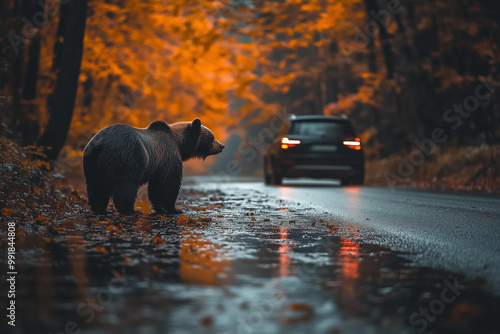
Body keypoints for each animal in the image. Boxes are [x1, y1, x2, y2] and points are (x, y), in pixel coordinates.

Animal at [83, 118, 224, 215]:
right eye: (212, 137)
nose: (222, 146)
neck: (179, 143)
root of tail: (102, 143)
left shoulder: (158, 163)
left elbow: (155, 187)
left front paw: (159, 208)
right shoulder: (168, 154)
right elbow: (168, 183)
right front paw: (174, 209)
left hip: (91, 161)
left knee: (96, 186)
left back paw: (100, 209)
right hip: (126, 154)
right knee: (125, 184)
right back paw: (130, 210)